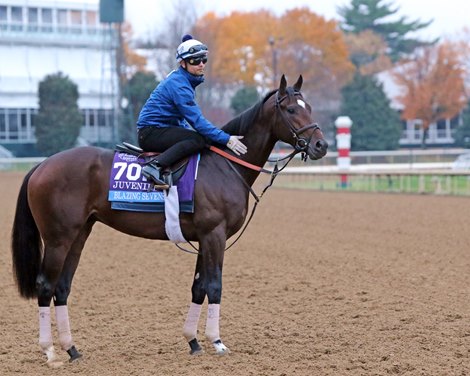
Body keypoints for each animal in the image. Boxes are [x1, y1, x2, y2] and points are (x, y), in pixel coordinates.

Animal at [10, 75, 326, 366]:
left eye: (309, 107)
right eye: (291, 109)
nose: (321, 145)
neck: (225, 166)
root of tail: (42, 165)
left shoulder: (204, 238)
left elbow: (199, 287)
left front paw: (193, 341)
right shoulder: (214, 235)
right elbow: (215, 285)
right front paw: (217, 341)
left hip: (78, 235)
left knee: (62, 287)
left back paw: (72, 349)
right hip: (57, 239)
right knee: (46, 286)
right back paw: (50, 351)